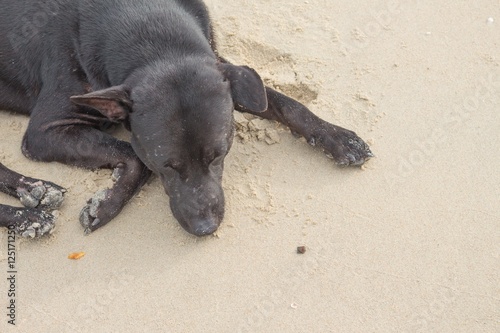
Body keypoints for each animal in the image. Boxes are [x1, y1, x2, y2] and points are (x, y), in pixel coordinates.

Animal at [0, 0, 372, 237]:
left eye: (219, 155)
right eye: (165, 166)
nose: (205, 229)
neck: (154, 37)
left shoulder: (226, 71)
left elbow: (281, 101)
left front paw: (339, 138)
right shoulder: (46, 130)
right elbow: (133, 155)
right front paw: (105, 205)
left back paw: (36, 192)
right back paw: (29, 212)